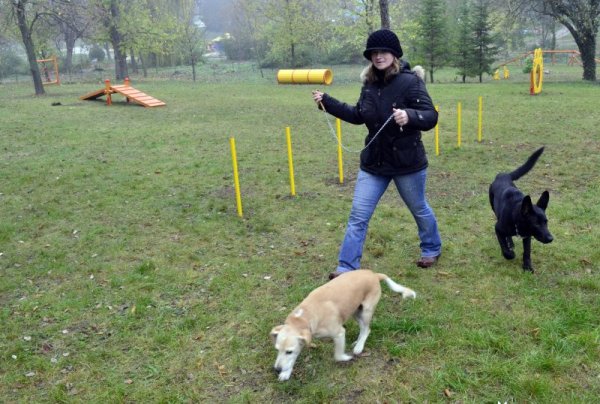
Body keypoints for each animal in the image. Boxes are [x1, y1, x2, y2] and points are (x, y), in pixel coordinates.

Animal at [270, 270, 414, 380]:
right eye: (277, 350)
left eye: (289, 351)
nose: (277, 369)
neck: (304, 317)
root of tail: (374, 274)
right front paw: (286, 373)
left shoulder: (339, 333)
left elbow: (338, 356)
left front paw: (346, 357)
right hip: (355, 311)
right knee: (363, 328)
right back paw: (357, 342)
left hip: (366, 312)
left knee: (367, 329)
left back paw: (359, 347)